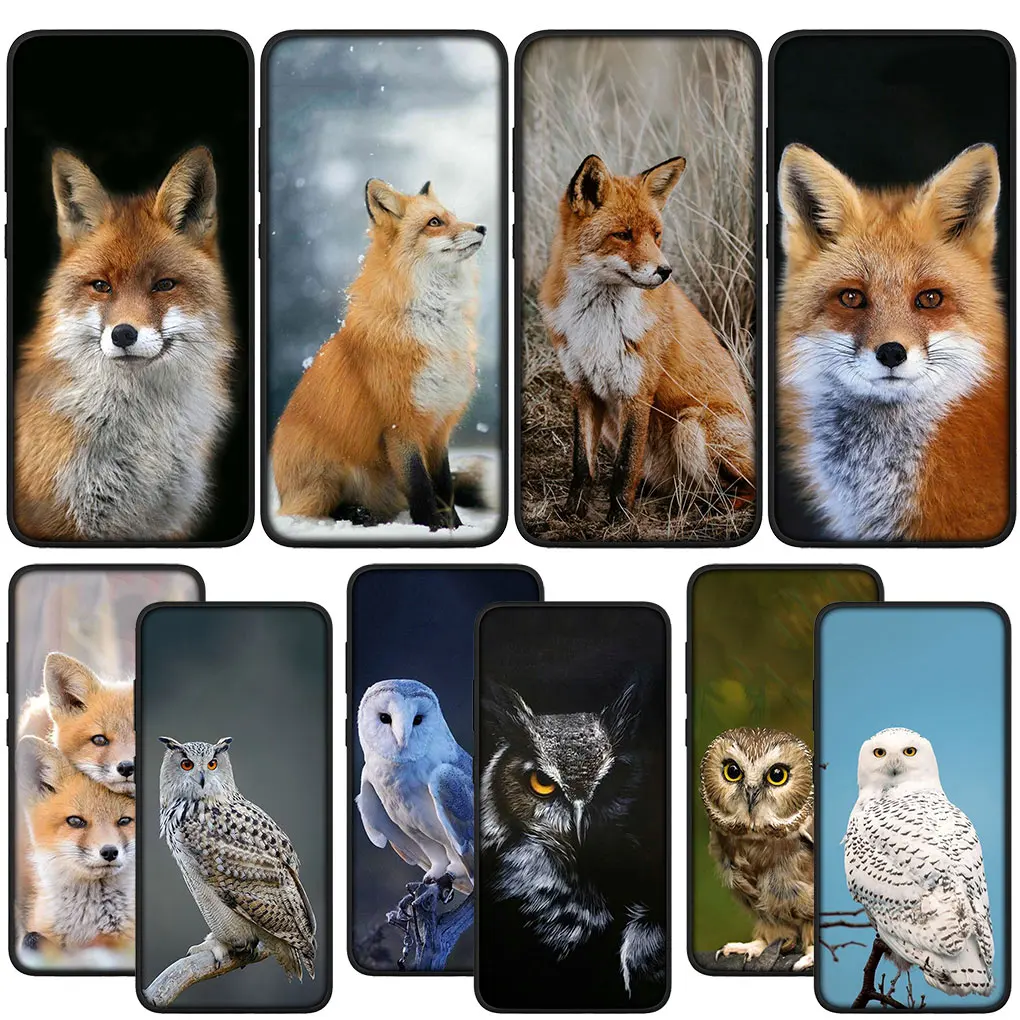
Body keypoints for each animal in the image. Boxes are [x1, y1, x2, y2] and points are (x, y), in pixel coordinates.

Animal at [271, 179, 486, 531]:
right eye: (435, 222)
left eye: (452, 216)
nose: (482, 227)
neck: (433, 322)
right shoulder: (400, 425)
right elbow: (421, 487)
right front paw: (431, 528)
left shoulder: (438, 425)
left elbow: (444, 486)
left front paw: (455, 528)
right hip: (327, 479)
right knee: (317, 511)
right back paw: (357, 514)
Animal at [540, 154, 755, 526]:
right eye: (623, 235)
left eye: (656, 235)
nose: (665, 271)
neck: (597, 326)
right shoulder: (582, 388)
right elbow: (582, 466)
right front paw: (573, 514)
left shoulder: (637, 392)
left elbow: (625, 466)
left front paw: (619, 521)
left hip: (690, 426)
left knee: (741, 489)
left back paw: (704, 508)